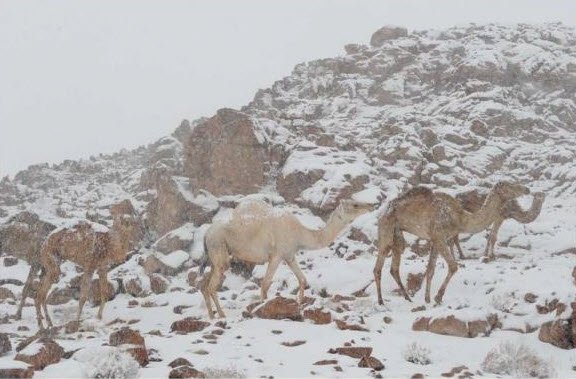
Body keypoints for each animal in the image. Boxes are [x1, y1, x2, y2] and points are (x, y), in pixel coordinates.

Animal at [33, 202, 143, 330]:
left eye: (131, 220)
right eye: (122, 219)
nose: (126, 223)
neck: (109, 244)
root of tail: (43, 244)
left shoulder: (102, 266)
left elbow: (104, 292)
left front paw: (99, 317)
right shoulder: (90, 265)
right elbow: (83, 295)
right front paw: (77, 320)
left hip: (50, 265)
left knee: (41, 293)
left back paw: (48, 324)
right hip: (51, 260)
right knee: (41, 294)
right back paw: (42, 325)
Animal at [200, 200, 376, 320]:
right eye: (354, 205)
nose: (371, 206)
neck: (301, 234)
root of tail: (207, 233)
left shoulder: (289, 256)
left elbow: (302, 279)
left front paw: (299, 303)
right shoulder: (276, 255)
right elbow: (265, 284)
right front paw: (261, 309)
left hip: (214, 257)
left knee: (204, 284)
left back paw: (211, 315)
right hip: (220, 251)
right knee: (212, 286)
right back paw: (221, 314)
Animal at [374, 181, 532, 306]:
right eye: (510, 185)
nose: (527, 189)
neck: (461, 218)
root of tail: (382, 211)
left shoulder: (435, 240)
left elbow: (430, 270)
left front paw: (427, 299)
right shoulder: (439, 237)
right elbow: (453, 266)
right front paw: (438, 297)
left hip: (397, 234)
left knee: (394, 267)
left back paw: (407, 298)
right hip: (386, 227)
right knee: (379, 265)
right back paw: (381, 301)